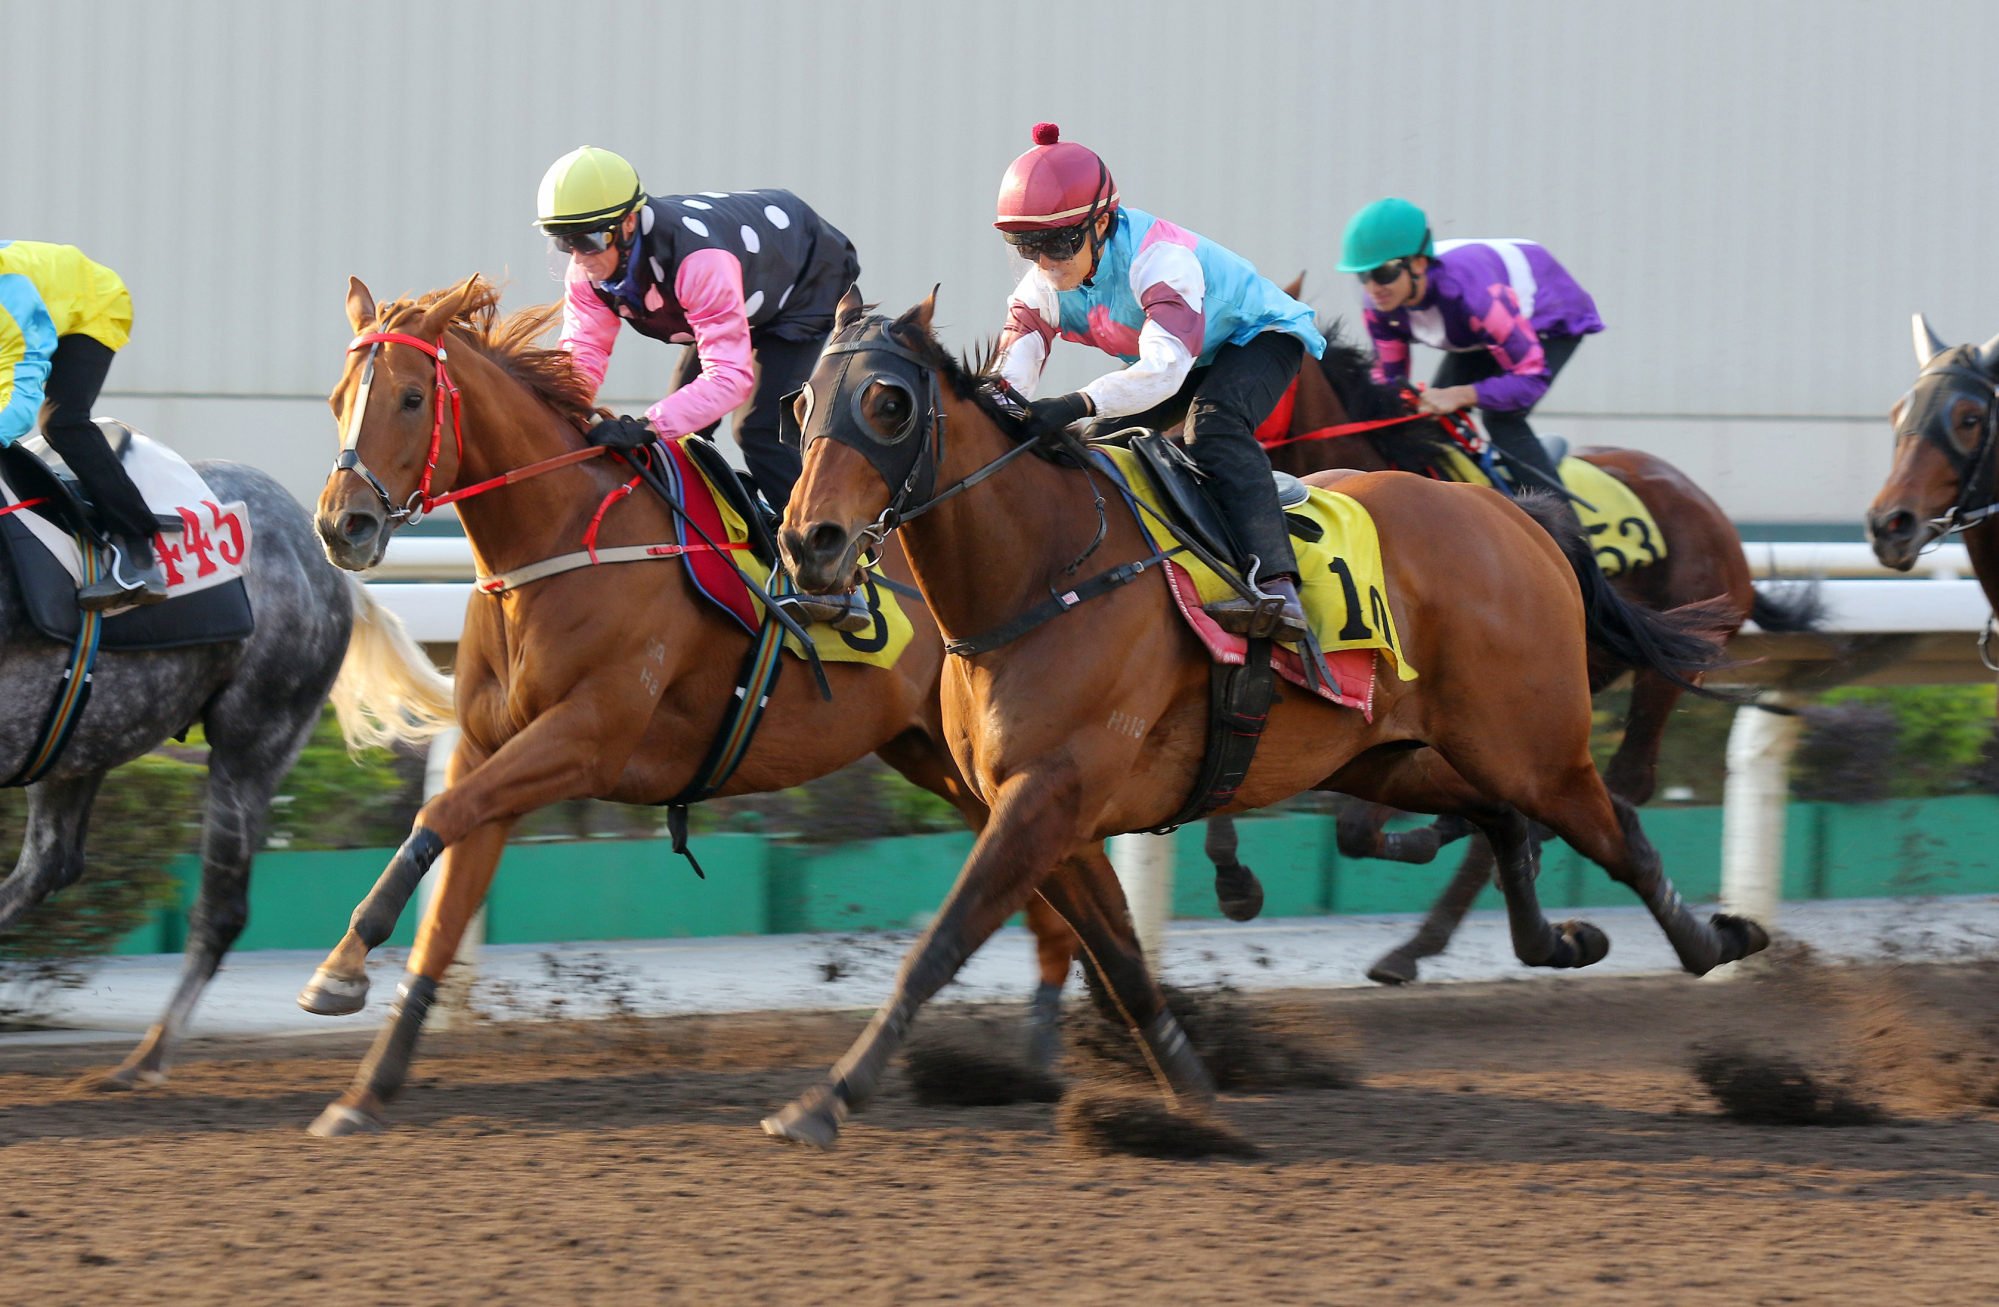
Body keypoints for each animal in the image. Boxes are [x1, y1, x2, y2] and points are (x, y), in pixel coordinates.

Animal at [0, 465, 451, 1087]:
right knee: (48, 864)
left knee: (220, 910)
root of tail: (326, 561)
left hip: (254, 738)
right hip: (82, 733)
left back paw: (146, 1060)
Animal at [297, 273, 1167, 1135]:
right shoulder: (488, 747)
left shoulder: (587, 735)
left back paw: (1053, 1058)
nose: (343, 525)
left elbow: (434, 818)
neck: (560, 541)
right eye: (339, 397)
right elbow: (444, 910)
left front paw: (338, 970)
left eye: (411, 397)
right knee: (1050, 900)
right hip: (948, 761)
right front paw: (365, 1087)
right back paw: (1045, 1054)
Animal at [759, 289, 1767, 1151]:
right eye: (802, 399)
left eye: (888, 402)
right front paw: (1195, 1100)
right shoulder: (1052, 812)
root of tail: (1511, 513)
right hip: (1387, 749)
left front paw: (822, 1100)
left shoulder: (1049, 795)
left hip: (1531, 744)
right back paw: (1552, 939)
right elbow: (1120, 959)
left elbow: (940, 944)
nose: (809, 543)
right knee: (1498, 817)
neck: (1044, 572)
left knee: (1614, 824)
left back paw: (1717, 940)